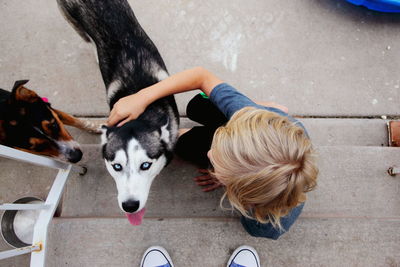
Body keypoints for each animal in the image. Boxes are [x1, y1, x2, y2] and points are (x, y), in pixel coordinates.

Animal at [57, 0, 179, 226]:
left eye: (146, 165)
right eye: (116, 166)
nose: (130, 206)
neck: (141, 112)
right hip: (76, 25)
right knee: (89, 42)